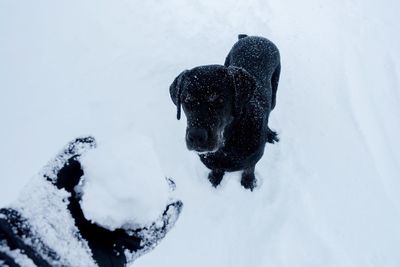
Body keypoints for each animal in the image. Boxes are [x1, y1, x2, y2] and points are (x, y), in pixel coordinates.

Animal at [170, 34, 280, 191]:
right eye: (186, 100)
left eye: (219, 100)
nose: (196, 137)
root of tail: (254, 36)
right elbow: (217, 168)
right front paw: (215, 177)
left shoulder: (254, 156)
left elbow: (249, 167)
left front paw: (248, 181)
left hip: (275, 91)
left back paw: (270, 134)